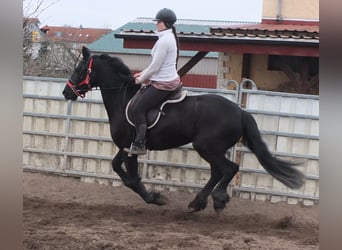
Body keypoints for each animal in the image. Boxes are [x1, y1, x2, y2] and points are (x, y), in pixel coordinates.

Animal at [62, 47, 304, 213]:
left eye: (79, 69)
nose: (66, 92)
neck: (123, 100)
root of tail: (240, 111)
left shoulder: (132, 148)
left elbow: (131, 178)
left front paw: (155, 198)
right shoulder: (126, 147)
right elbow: (117, 167)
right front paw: (154, 196)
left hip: (207, 147)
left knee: (229, 169)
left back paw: (217, 199)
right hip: (212, 149)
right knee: (218, 171)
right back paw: (198, 202)